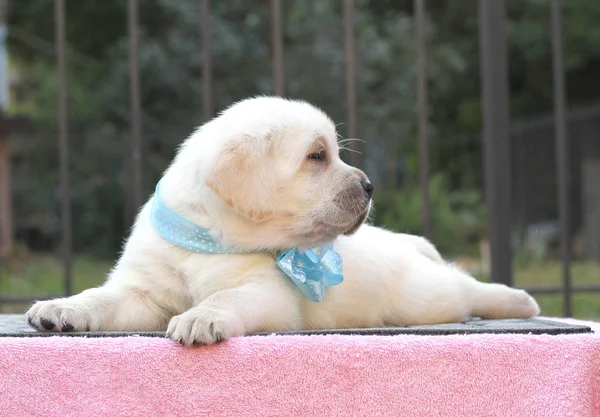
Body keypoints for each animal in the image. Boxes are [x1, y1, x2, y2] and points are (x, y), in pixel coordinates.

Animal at [25, 96, 540, 342]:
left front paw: (201, 317)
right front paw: (61, 308)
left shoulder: (266, 293)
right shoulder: (142, 294)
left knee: (466, 288)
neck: (206, 238)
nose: (370, 186)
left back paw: (519, 300)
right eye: (317, 156)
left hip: (422, 296)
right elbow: (100, 296)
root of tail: (399, 241)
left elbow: (226, 297)